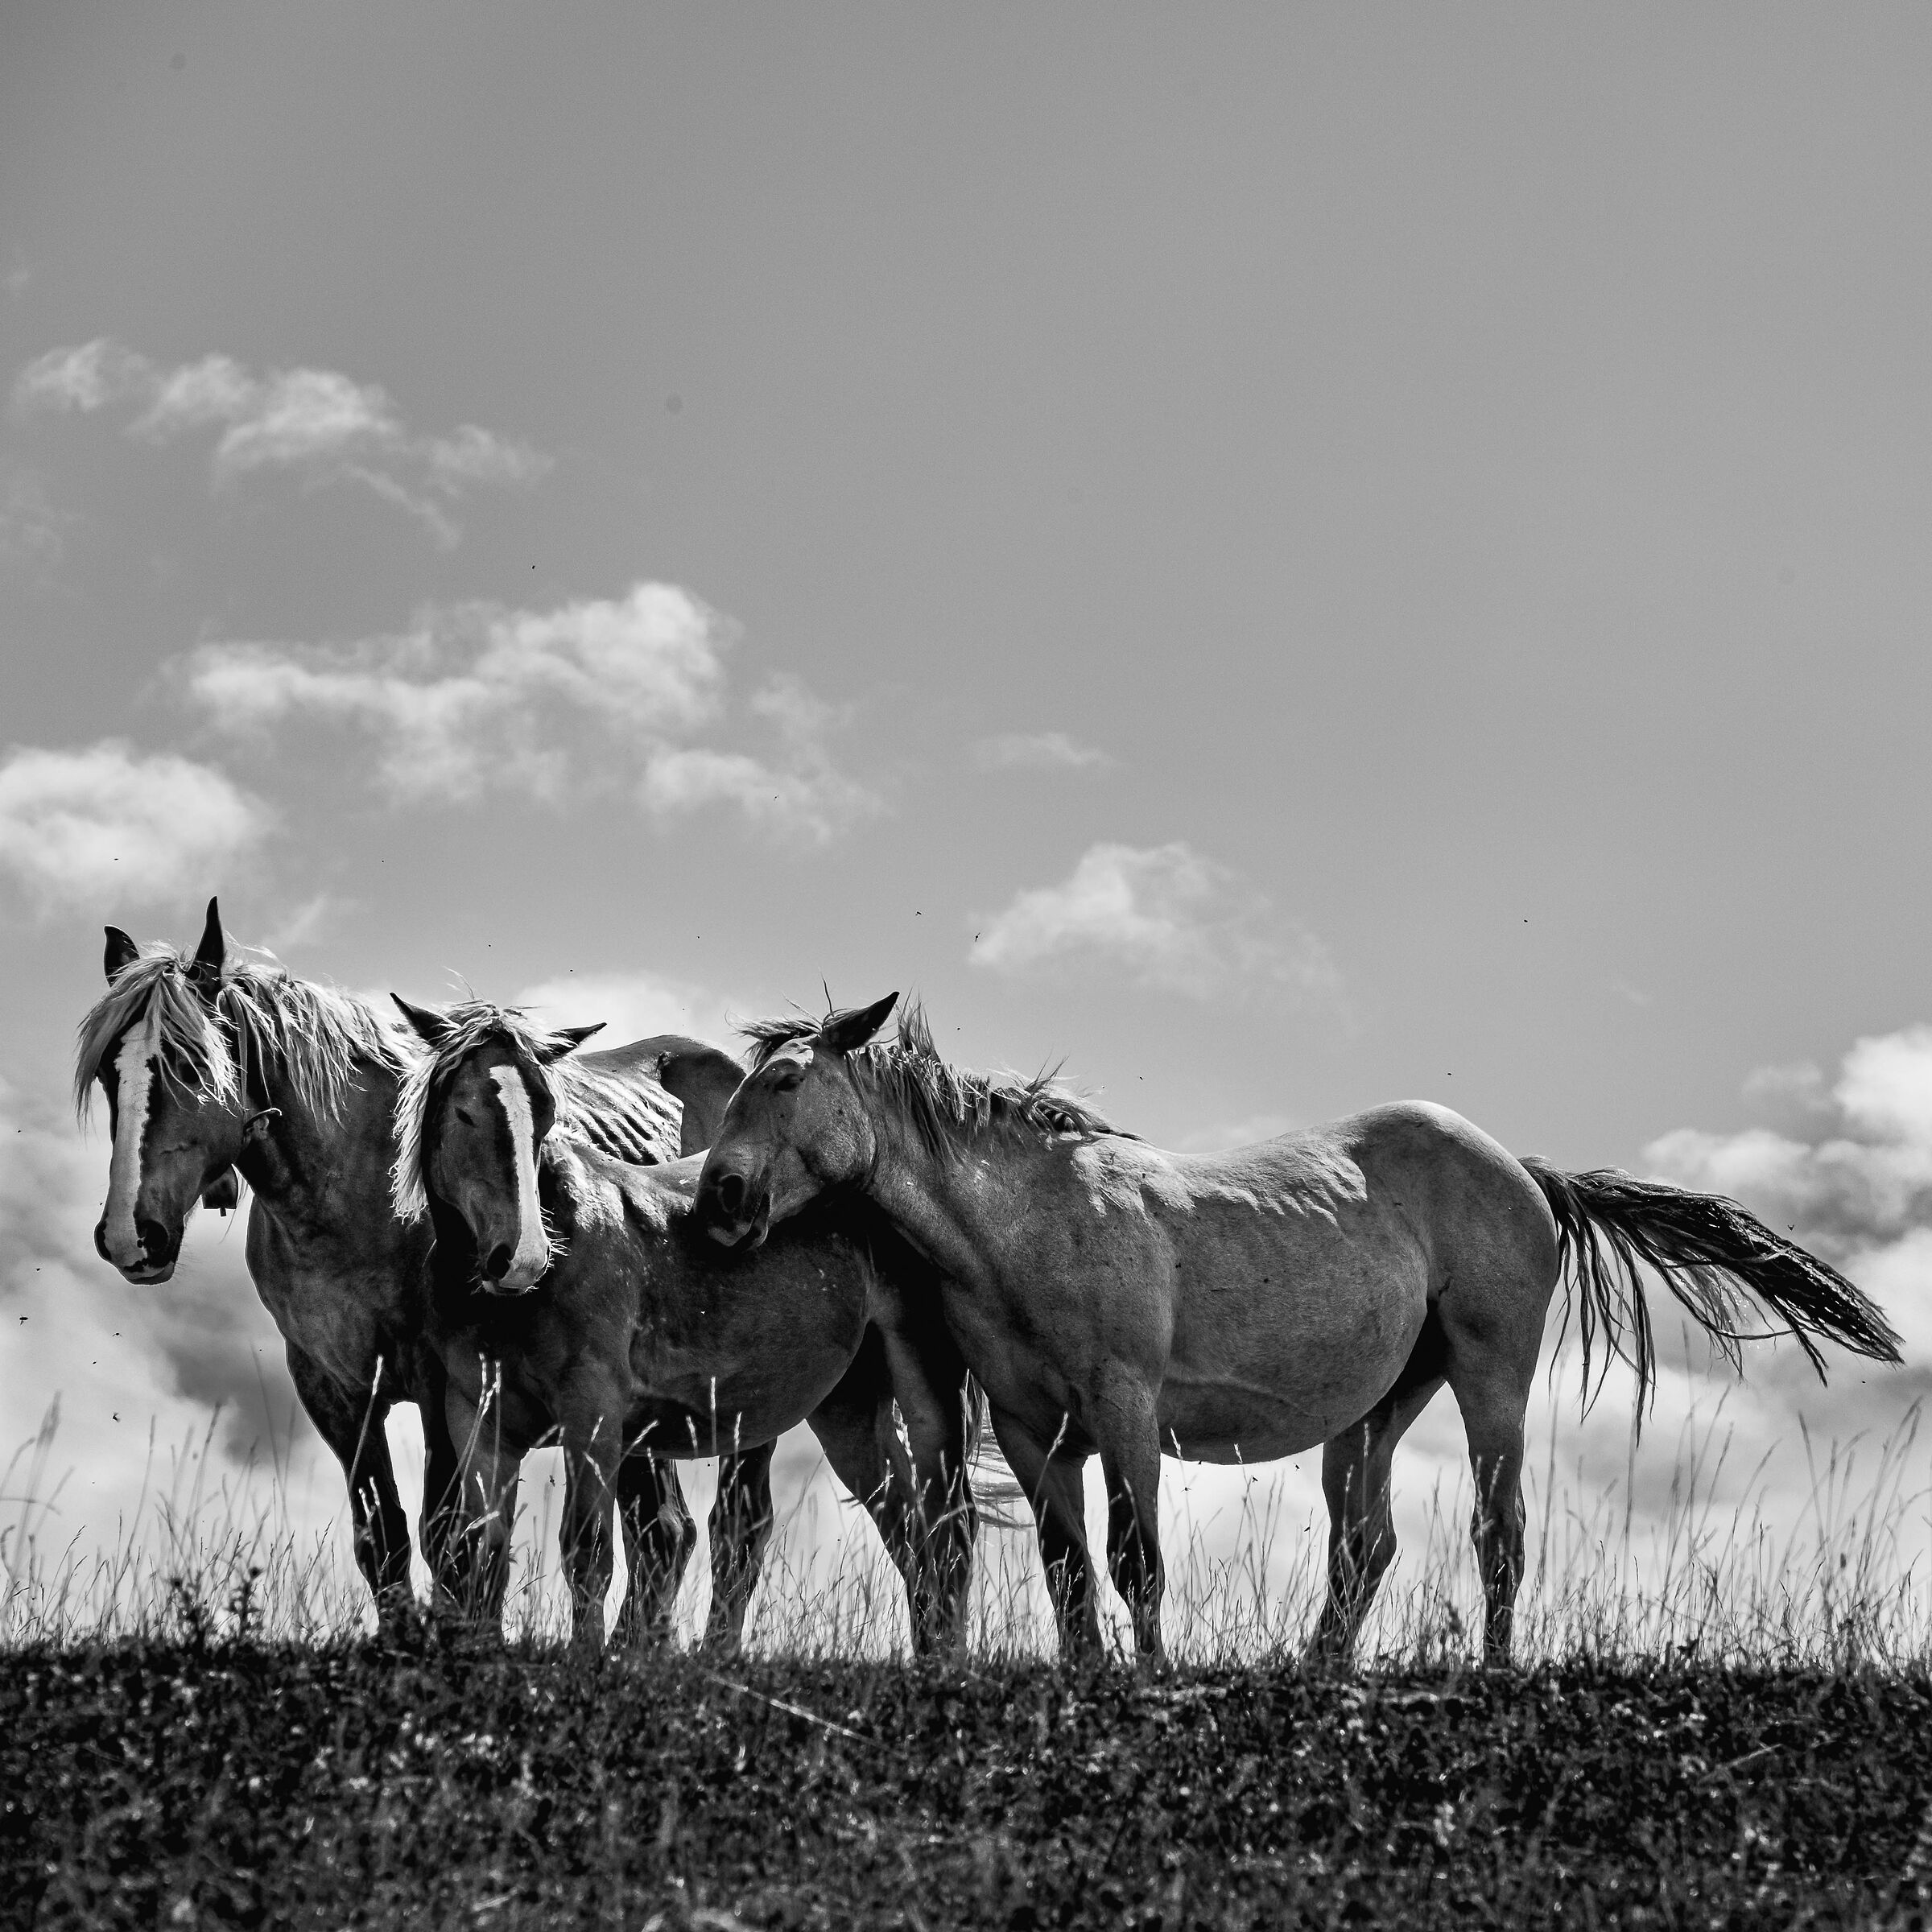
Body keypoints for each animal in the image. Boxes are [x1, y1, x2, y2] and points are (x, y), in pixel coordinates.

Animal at [74, 898, 768, 1645]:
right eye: (111, 1073)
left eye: (192, 1064)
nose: (131, 1236)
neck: (355, 1189)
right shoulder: (335, 1388)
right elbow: (382, 1535)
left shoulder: (443, 1384)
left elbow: (451, 1538)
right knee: (662, 1532)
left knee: (726, 1529)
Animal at [389, 999, 981, 1654]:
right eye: (464, 1110)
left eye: (546, 1111)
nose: (521, 1257)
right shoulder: (479, 1422)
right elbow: (482, 1553)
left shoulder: (592, 1417)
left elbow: (588, 1553)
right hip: (846, 1409)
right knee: (908, 1530)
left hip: (919, 1388)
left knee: (943, 1531)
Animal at [692, 996, 1903, 1668]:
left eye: (786, 1080)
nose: (719, 1199)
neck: (1026, 1221)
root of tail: (1529, 1172)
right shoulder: (1039, 1434)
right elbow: (1067, 1566)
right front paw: (1088, 1676)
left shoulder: (1123, 1408)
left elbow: (1135, 1560)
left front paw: (1150, 1675)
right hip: (1378, 1407)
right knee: (1366, 1546)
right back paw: (1319, 1669)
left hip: (1490, 1375)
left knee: (1498, 1530)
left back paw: (1494, 1668)